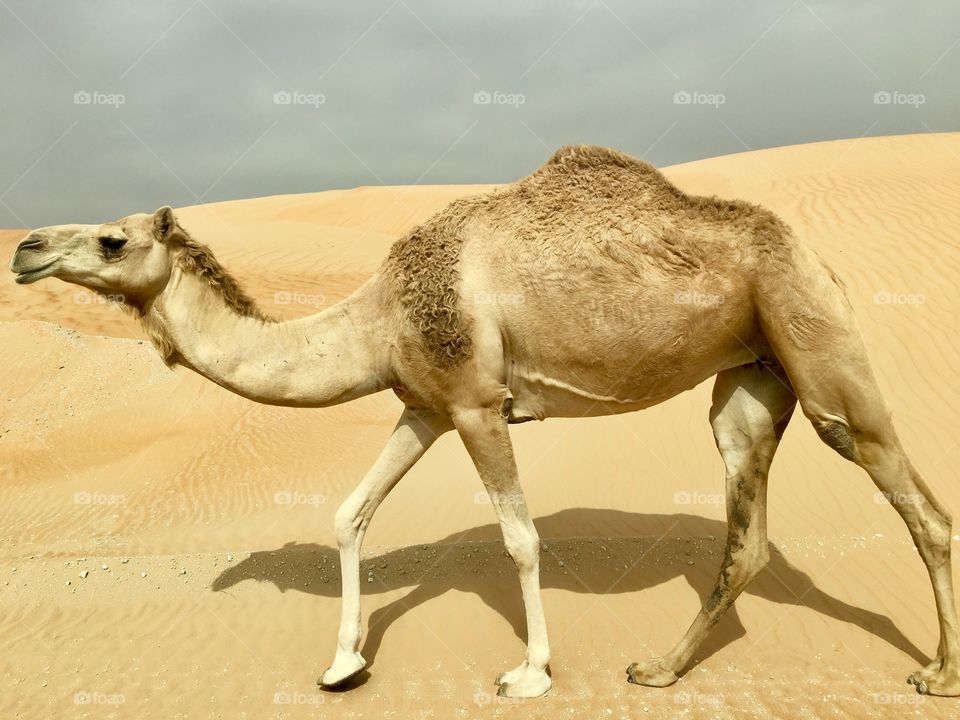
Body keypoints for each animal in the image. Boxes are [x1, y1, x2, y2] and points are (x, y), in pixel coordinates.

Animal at [8, 145, 959, 699]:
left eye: (113, 240)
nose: (24, 247)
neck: (376, 317)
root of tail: (822, 260)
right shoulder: (423, 405)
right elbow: (349, 513)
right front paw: (344, 663)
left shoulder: (475, 404)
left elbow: (520, 538)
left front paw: (531, 671)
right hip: (752, 381)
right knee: (746, 533)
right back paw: (657, 669)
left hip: (819, 347)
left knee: (919, 506)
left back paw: (937, 672)